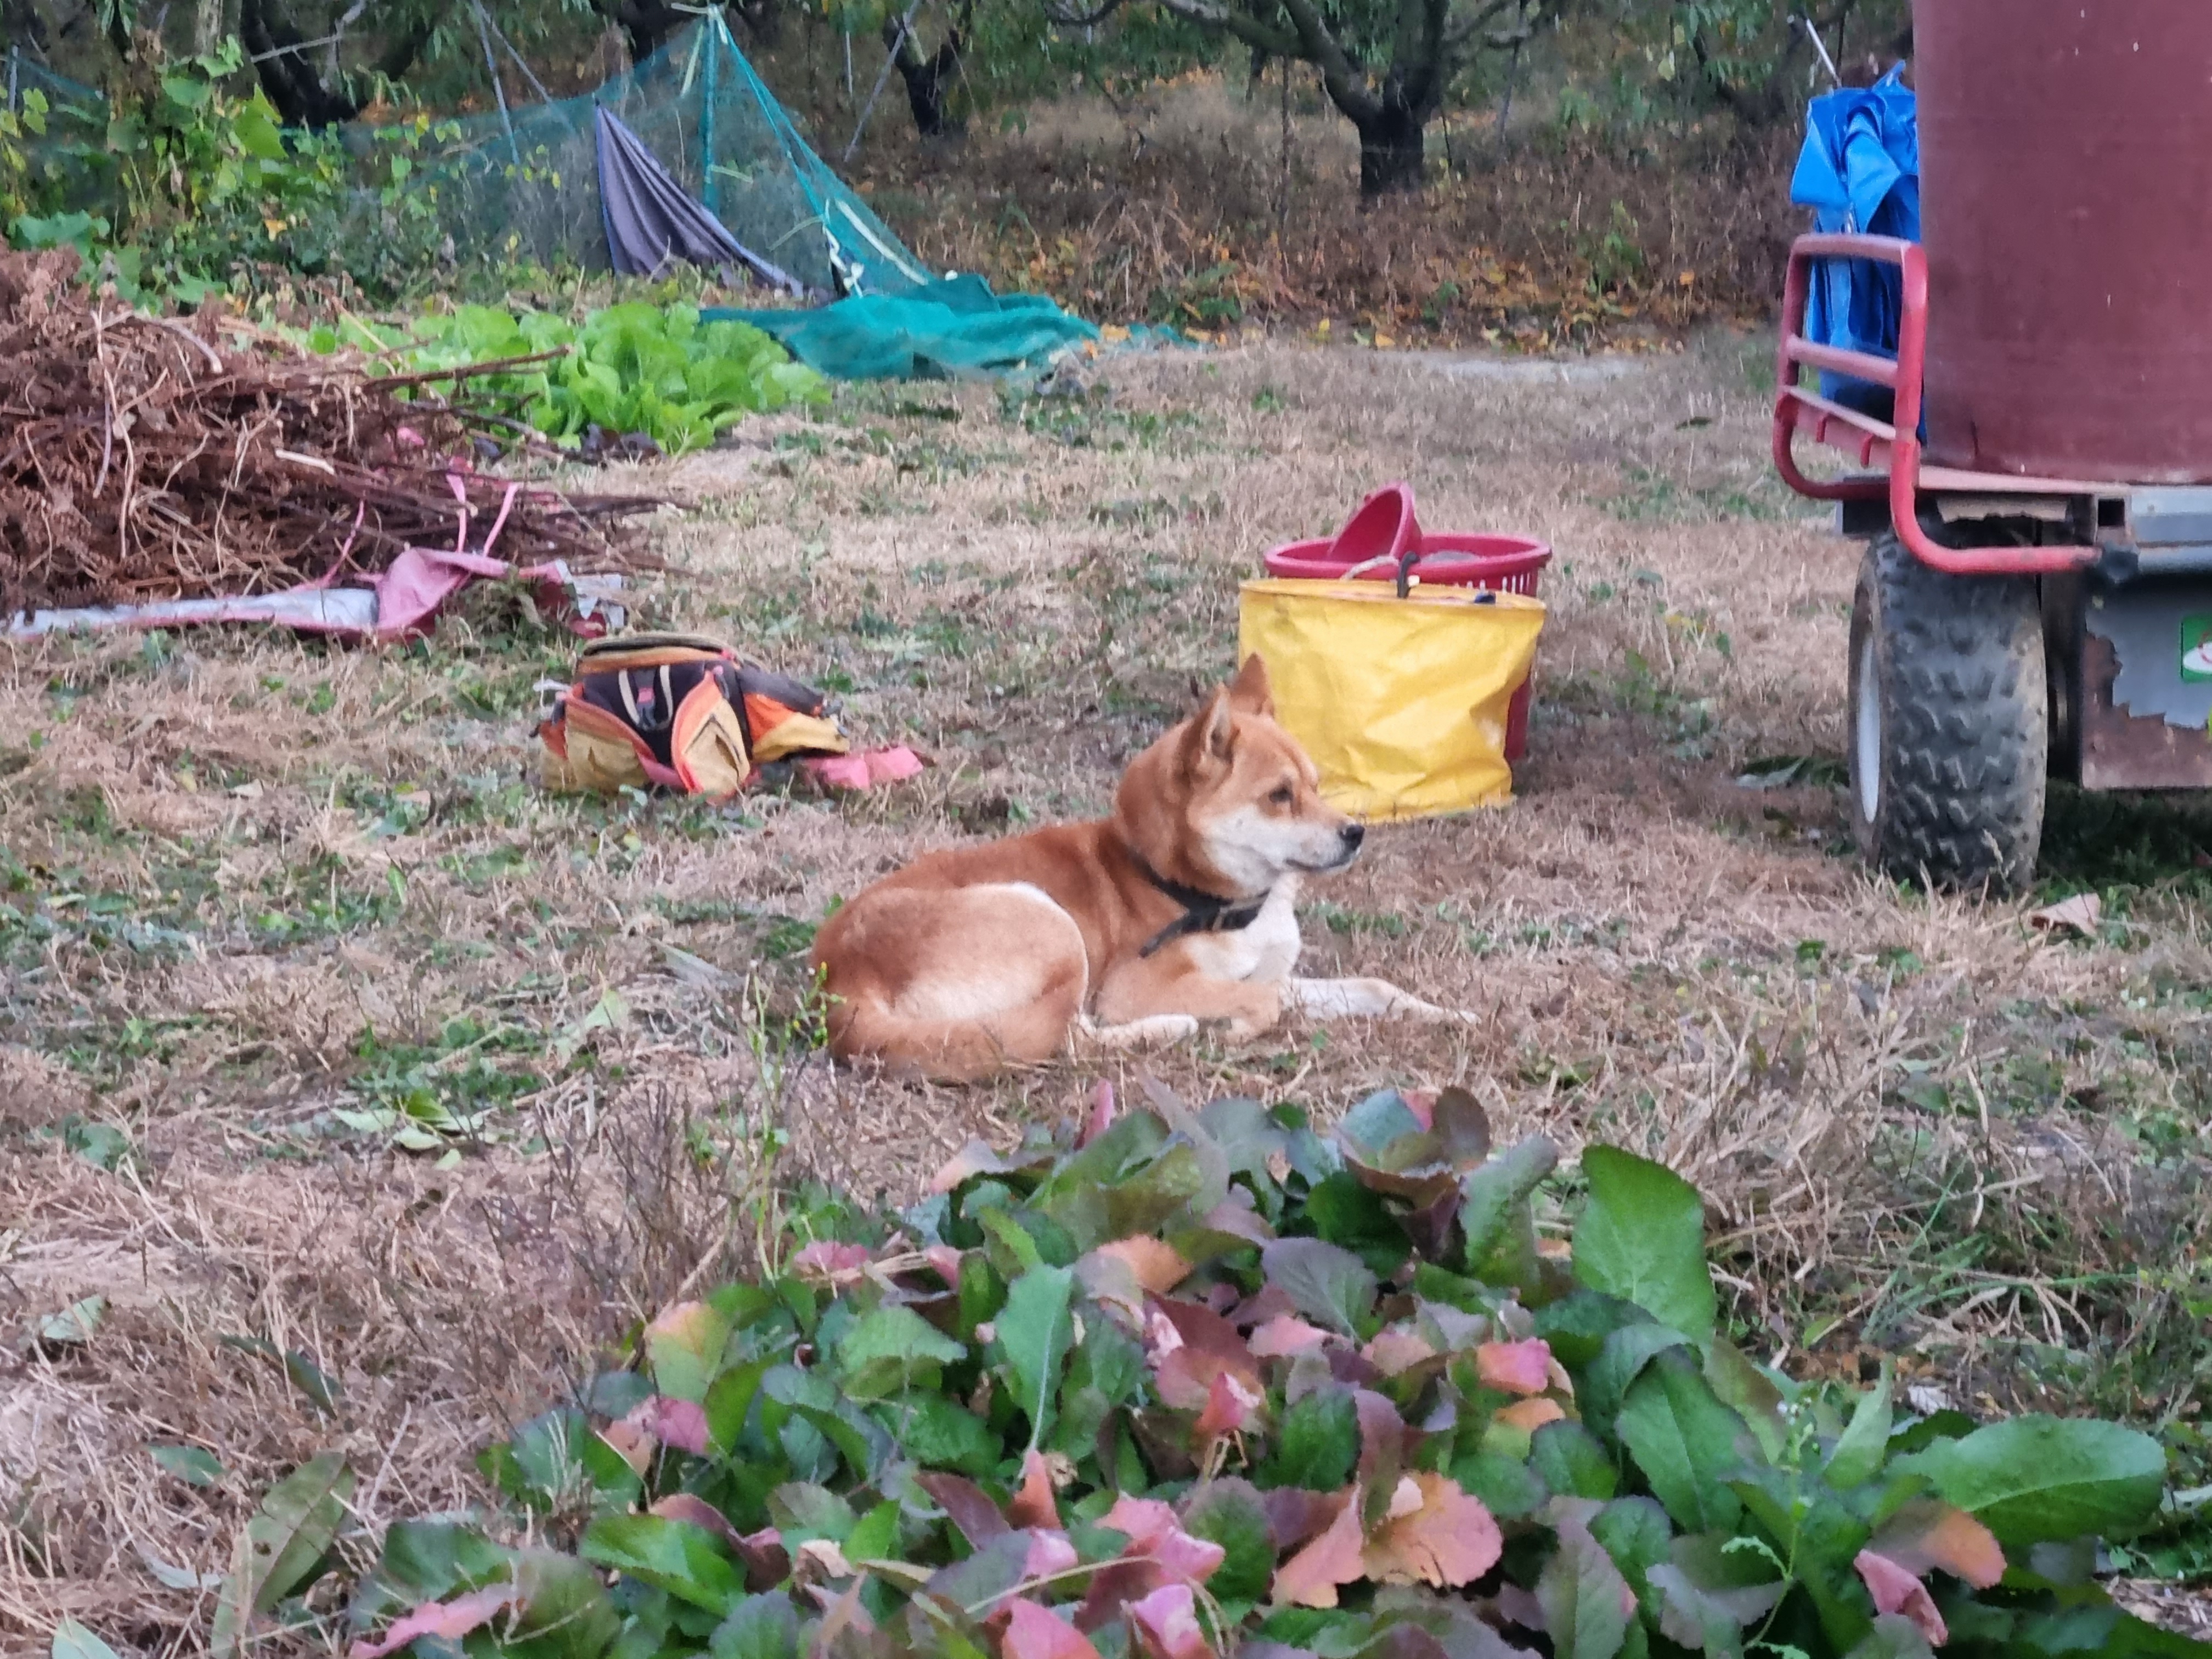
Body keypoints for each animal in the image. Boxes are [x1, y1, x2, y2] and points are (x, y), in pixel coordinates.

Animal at [810, 655, 1466, 1082]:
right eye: (1279, 796)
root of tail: (841, 984)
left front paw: (1449, 1013)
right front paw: (1235, 1030)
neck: (1191, 890)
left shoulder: (1273, 973)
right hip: (1049, 925)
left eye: (1315, 784)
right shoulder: (1134, 987)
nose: (1357, 833)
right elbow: (1265, 1004)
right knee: (1065, 1040)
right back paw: (1172, 1029)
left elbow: (1371, 987)